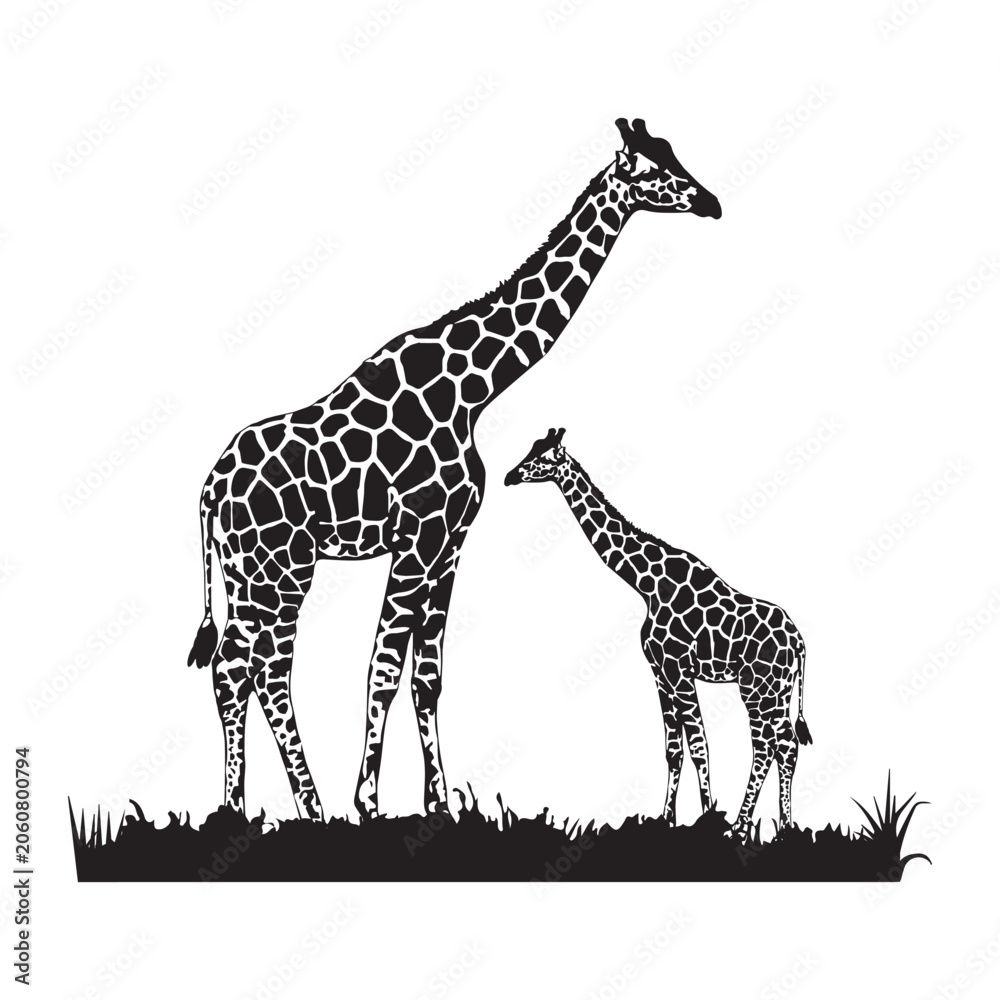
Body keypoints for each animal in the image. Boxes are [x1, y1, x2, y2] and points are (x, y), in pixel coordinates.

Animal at [187, 119, 721, 822]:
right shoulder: (416, 537)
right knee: (255, 668)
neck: (474, 390)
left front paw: (439, 802)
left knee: (237, 667)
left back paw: (249, 806)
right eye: (654, 171)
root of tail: (207, 490)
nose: (712, 203)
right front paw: (368, 802)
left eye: (676, 154)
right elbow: (383, 668)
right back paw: (298, 807)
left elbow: (428, 676)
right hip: (277, 567)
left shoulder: (451, 542)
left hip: (250, 570)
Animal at [504, 429, 812, 840]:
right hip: (777, 688)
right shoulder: (660, 673)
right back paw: (783, 827)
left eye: (544, 458)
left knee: (767, 745)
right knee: (786, 744)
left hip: (758, 686)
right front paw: (666, 818)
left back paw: (740, 827)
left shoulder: (679, 669)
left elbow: (699, 745)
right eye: (530, 449)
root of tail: (799, 641)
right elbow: (673, 749)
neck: (646, 584)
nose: (509, 476)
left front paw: (708, 817)